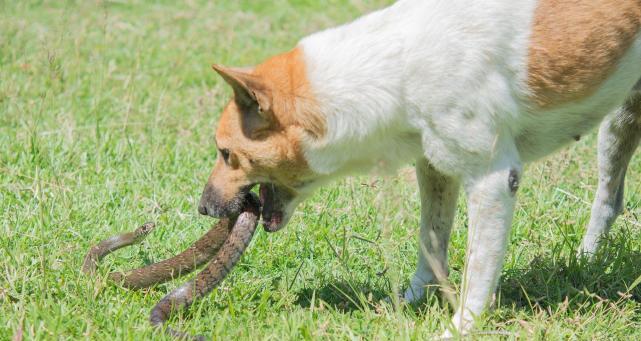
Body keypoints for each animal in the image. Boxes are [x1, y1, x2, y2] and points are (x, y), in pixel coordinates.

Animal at [198, 0, 640, 334]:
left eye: (225, 154)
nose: (203, 208)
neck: (397, 68)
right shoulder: (434, 167)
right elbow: (430, 240)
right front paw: (409, 301)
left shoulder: (494, 181)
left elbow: (479, 267)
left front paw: (462, 327)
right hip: (619, 124)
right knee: (610, 200)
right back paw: (586, 260)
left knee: (607, 198)